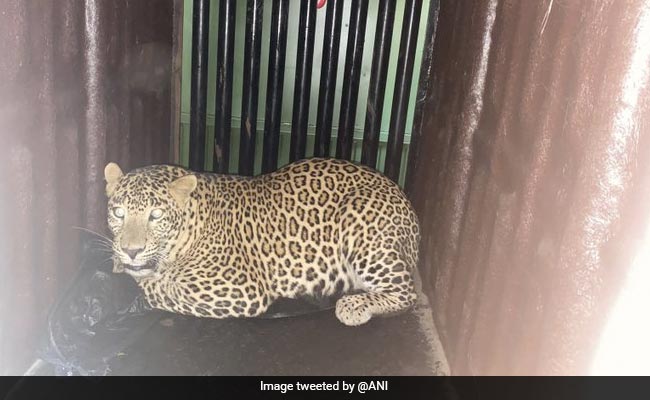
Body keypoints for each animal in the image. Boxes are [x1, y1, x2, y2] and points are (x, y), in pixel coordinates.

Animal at [104, 158, 420, 326]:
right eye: (119, 213)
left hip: (360, 221)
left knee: (407, 294)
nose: (132, 251)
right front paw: (119, 260)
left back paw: (353, 306)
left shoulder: (239, 290)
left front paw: (133, 279)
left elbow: (159, 288)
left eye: (155, 215)